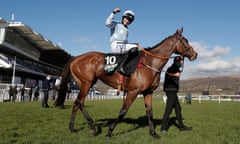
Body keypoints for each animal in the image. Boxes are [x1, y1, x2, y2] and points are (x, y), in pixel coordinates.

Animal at [55, 27, 198, 138]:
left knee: (77, 103)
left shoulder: (148, 92)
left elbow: (150, 112)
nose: (195, 54)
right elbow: (123, 111)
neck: (150, 63)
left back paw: (75, 127)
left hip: (86, 83)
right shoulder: (133, 91)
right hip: (86, 83)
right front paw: (109, 132)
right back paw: (91, 127)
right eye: (185, 40)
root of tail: (76, 58)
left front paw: (153, 133)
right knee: (79, 102)